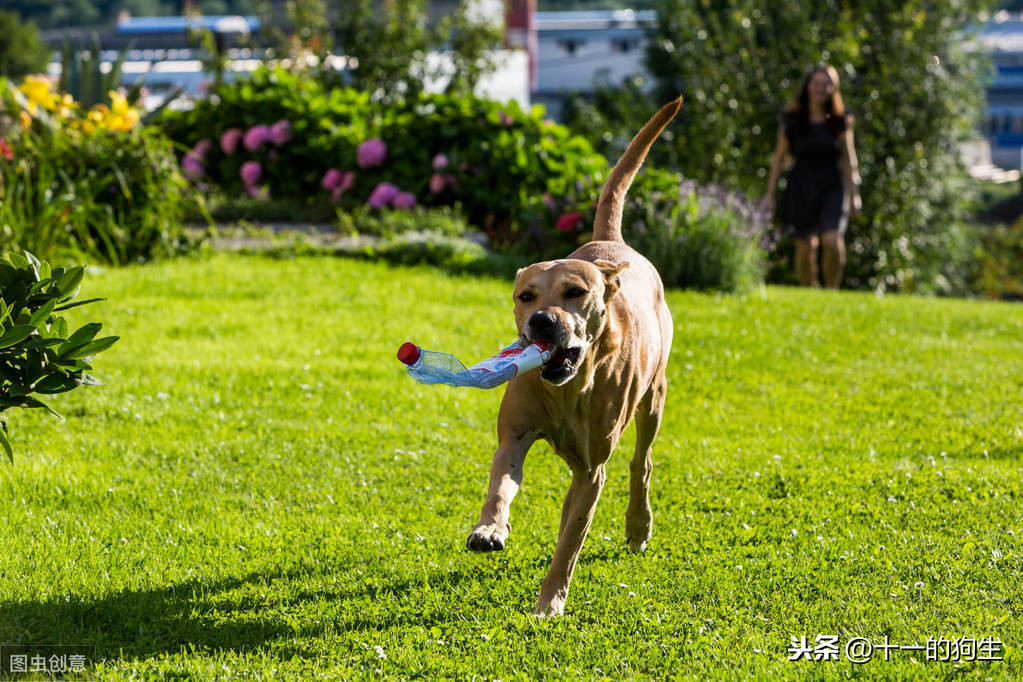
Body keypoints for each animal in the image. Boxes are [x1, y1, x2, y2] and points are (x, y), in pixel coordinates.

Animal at [468, 98, 683, 617]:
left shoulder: (592, 470)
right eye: (525, 295)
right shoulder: (515, 433)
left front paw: (550, 602)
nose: (542, 322)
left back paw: (638, 525)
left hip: (654, 400)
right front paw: (489, 528)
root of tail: (613, 246)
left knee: (641, 463)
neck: (569, 388)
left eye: (575, 292)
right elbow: (500, 484)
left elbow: (570, 542)